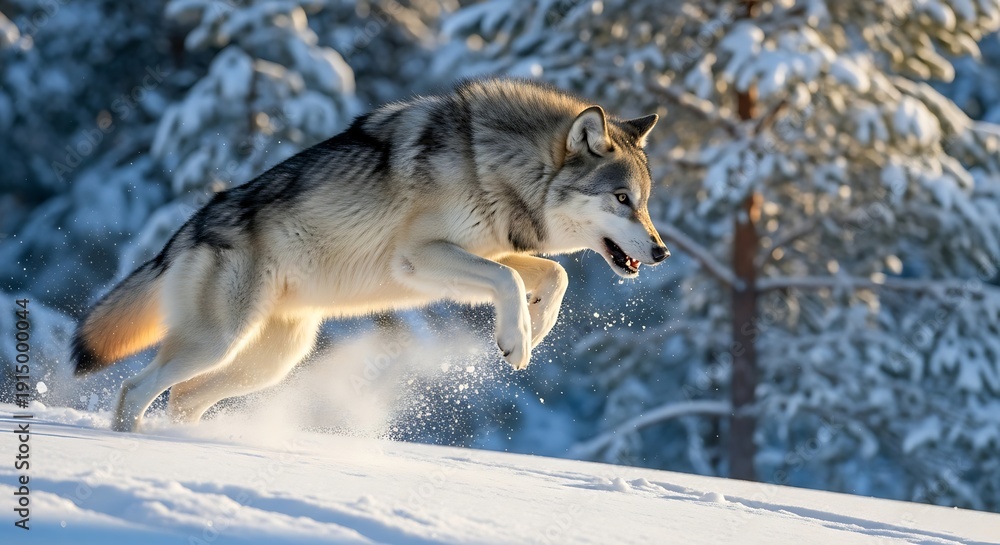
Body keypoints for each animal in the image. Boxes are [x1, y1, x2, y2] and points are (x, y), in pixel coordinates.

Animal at [72, 78, 669, 432]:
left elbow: (553, 272)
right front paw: (518, 340)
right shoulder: (420, 258)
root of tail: (185, 231)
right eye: (622, 200)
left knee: (183, 398)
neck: (492, 164)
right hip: (218, 343)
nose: (662, 251)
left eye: (645, 202)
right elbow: (510, 281)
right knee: (134, 389)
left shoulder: (481, 251)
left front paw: (536, 328)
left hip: (270, 361)